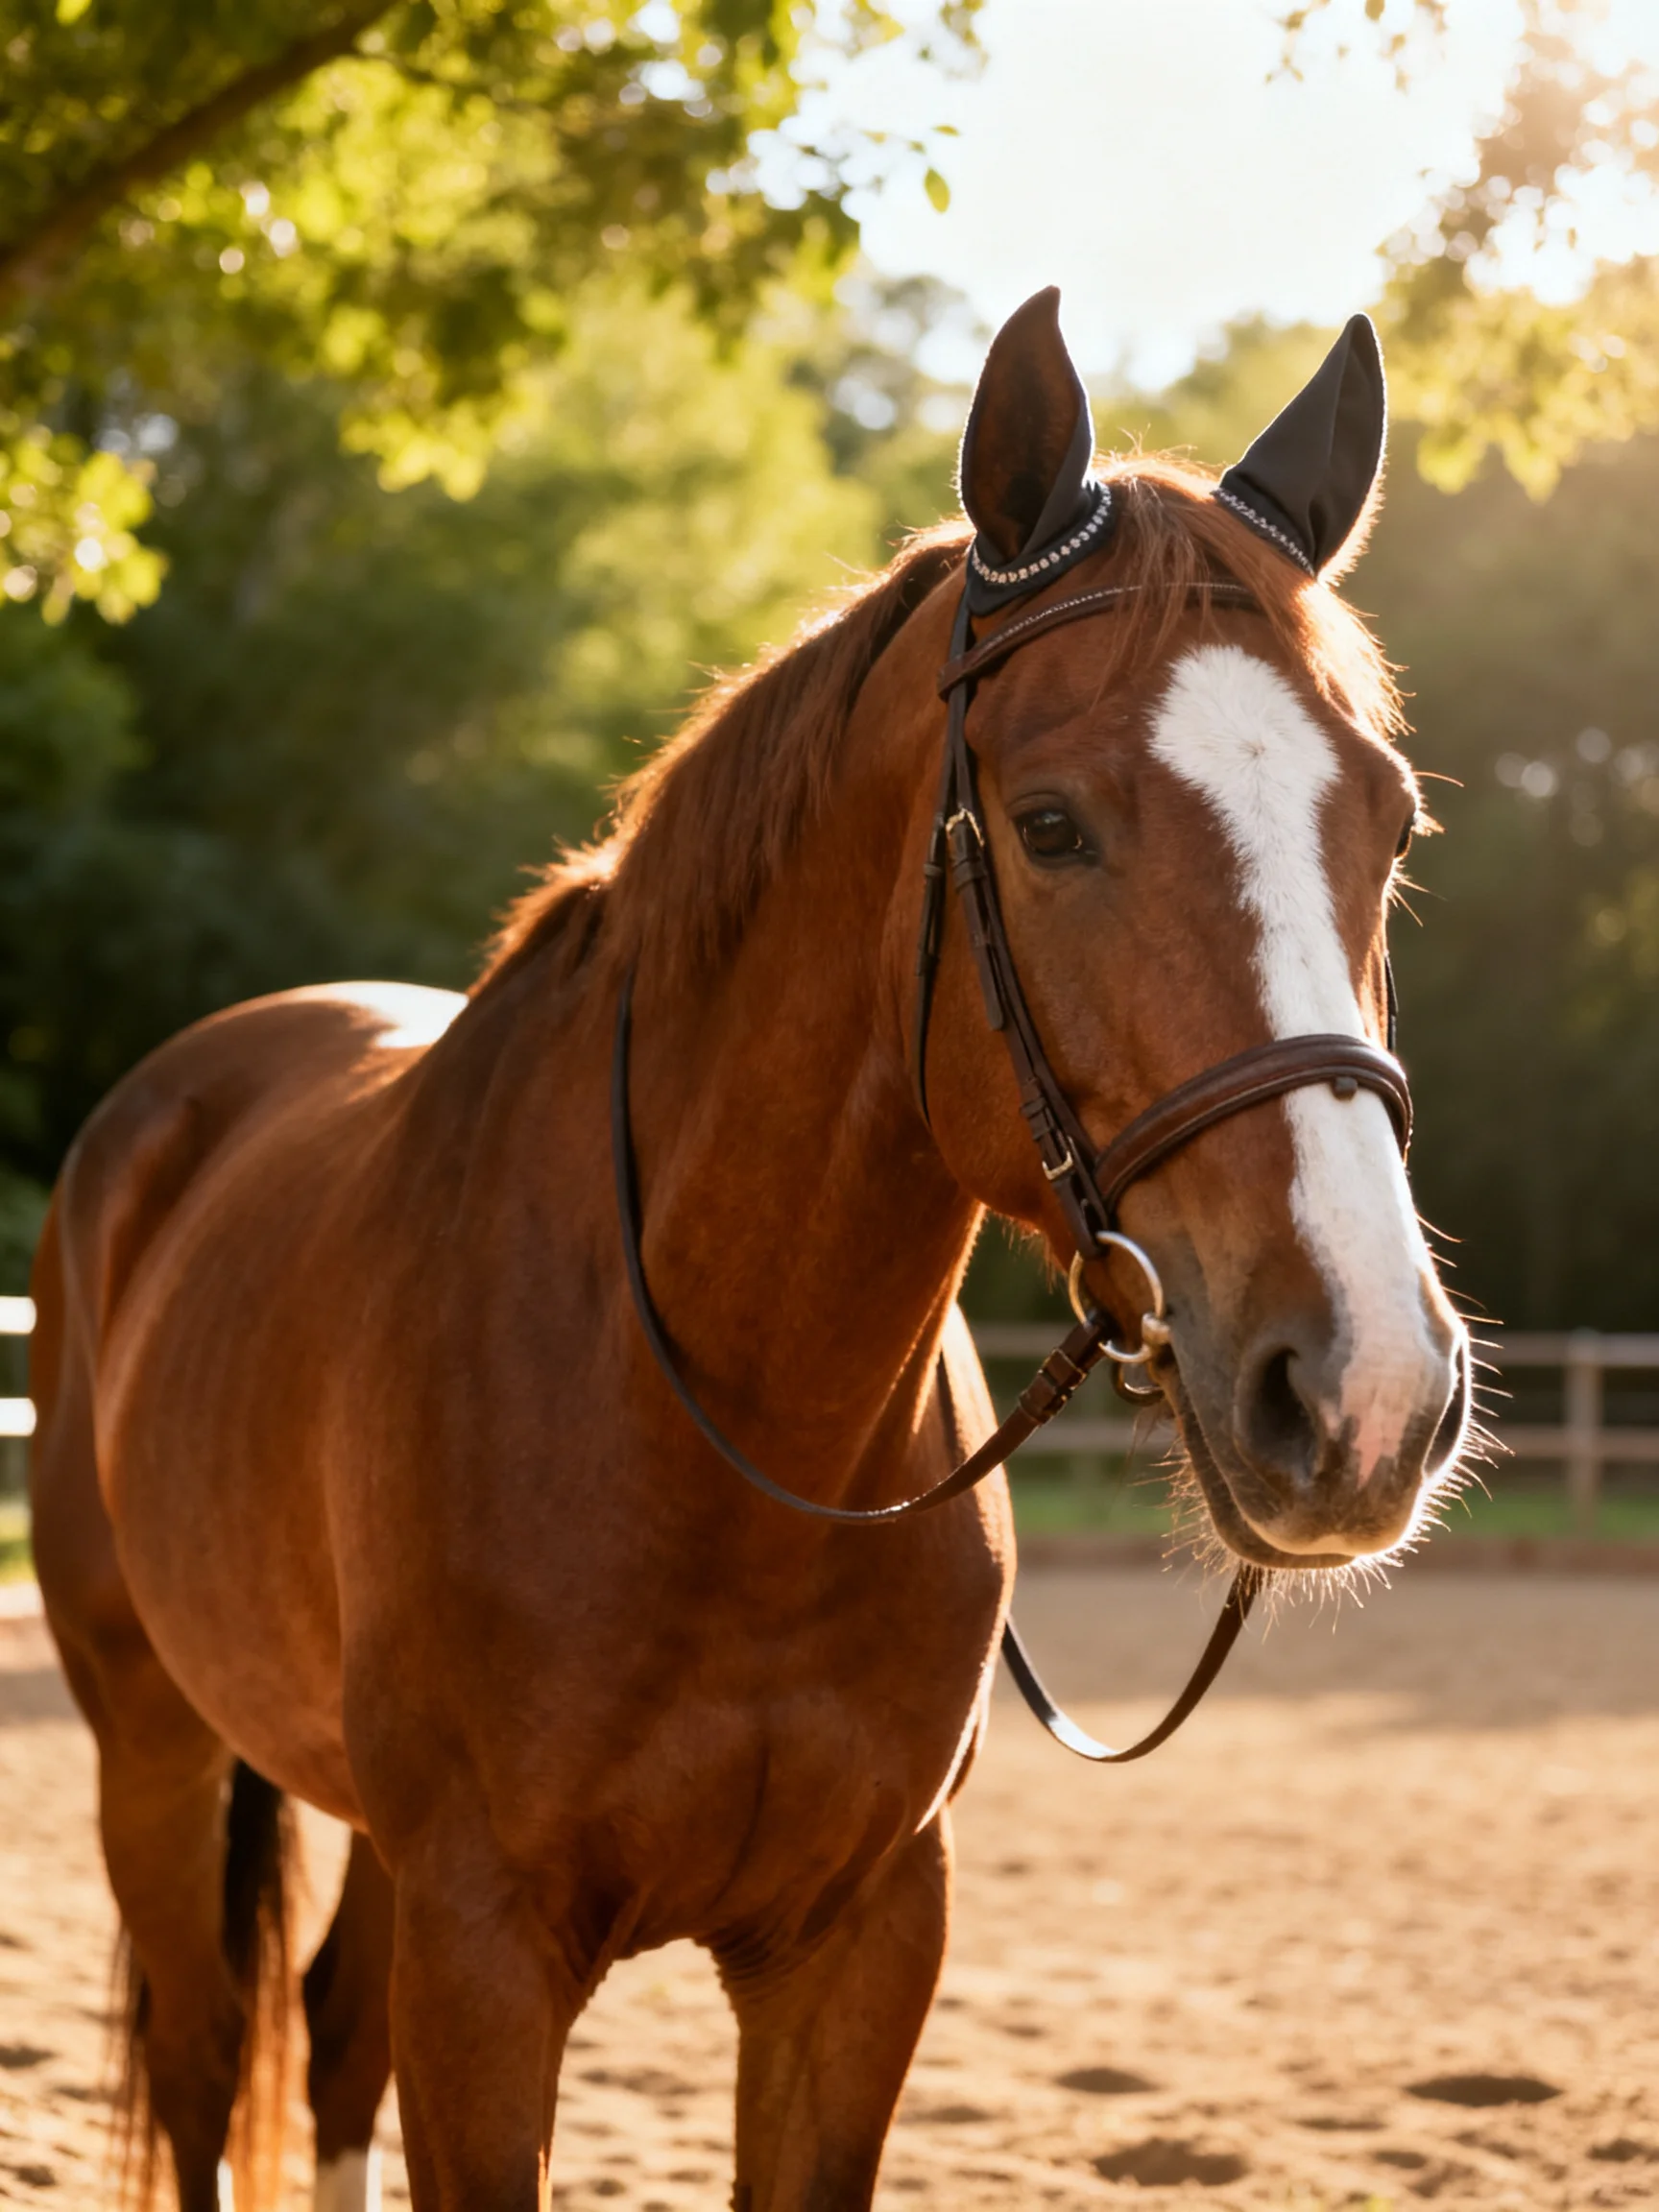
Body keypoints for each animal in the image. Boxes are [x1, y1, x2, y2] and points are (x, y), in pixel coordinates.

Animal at [29, 288, 1468, 2212]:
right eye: (1051, 824)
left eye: (1388, 825)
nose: (1367, 1393)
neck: (729, 1436)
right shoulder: (485, 1957)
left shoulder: (855, 1947)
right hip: (153, 1747)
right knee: (203, 2068)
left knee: (325, 2039)